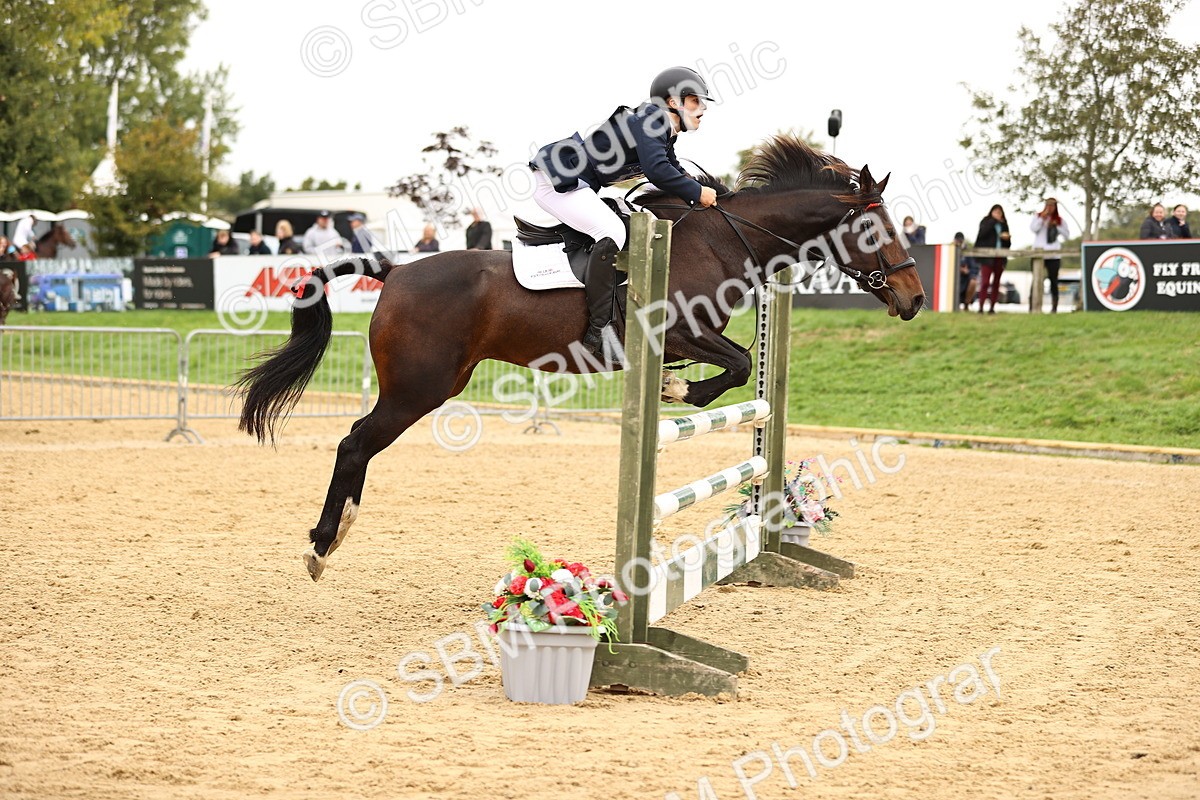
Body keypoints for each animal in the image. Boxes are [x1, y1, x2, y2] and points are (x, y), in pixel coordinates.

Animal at [234, 135, 926, 581]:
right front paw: (677, 393)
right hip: (417, 389)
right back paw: (324, 543)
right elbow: (731, 368)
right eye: (875, 230)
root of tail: (397, 270)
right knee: (355, 442)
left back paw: (334, 535)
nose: (915, 298)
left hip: (432, 385)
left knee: (359, 443)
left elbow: (736, 370)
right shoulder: (678, 333)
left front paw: (678, 392)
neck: (721, 239)